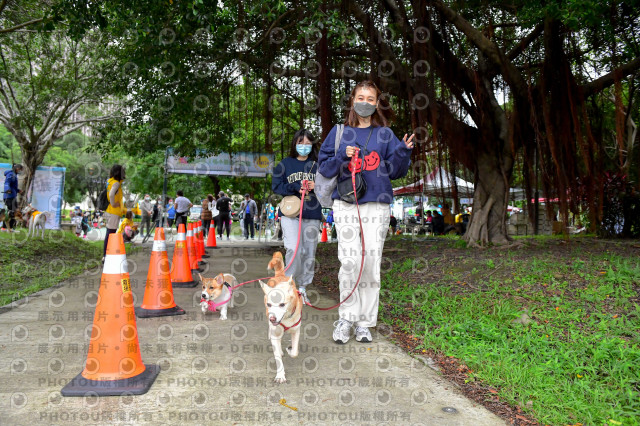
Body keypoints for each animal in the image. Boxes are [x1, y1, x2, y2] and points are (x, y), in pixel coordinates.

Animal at [258, 251, 304, 384]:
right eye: (269, 304)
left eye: (282, 304)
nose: (272, 319)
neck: (286, 318)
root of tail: (280, 275)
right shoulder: (275, 333)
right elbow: (278, 357)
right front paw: (280, 375)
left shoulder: (296, 331)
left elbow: (294, 352)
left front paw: (290, 350)